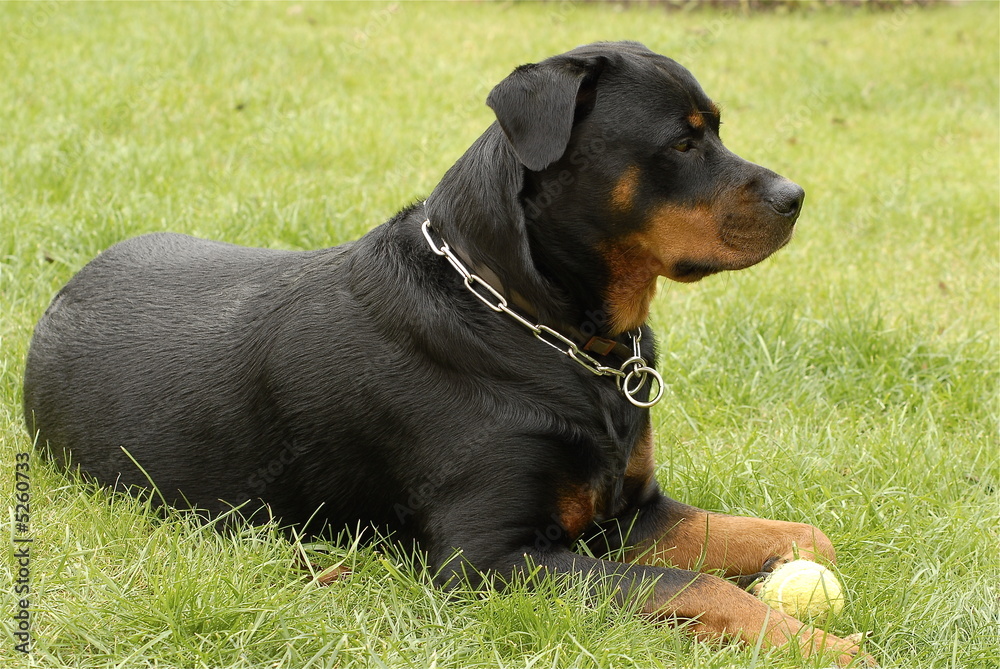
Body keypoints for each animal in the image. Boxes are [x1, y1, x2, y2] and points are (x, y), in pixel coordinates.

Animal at [21, 41, 868, 664]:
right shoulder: (490, 559)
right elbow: (689, 585)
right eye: (683, 140)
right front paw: (826, 643)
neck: (551, 330)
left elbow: (797, 535)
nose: (796, 197)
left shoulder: (630, 509)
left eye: (716, 128)